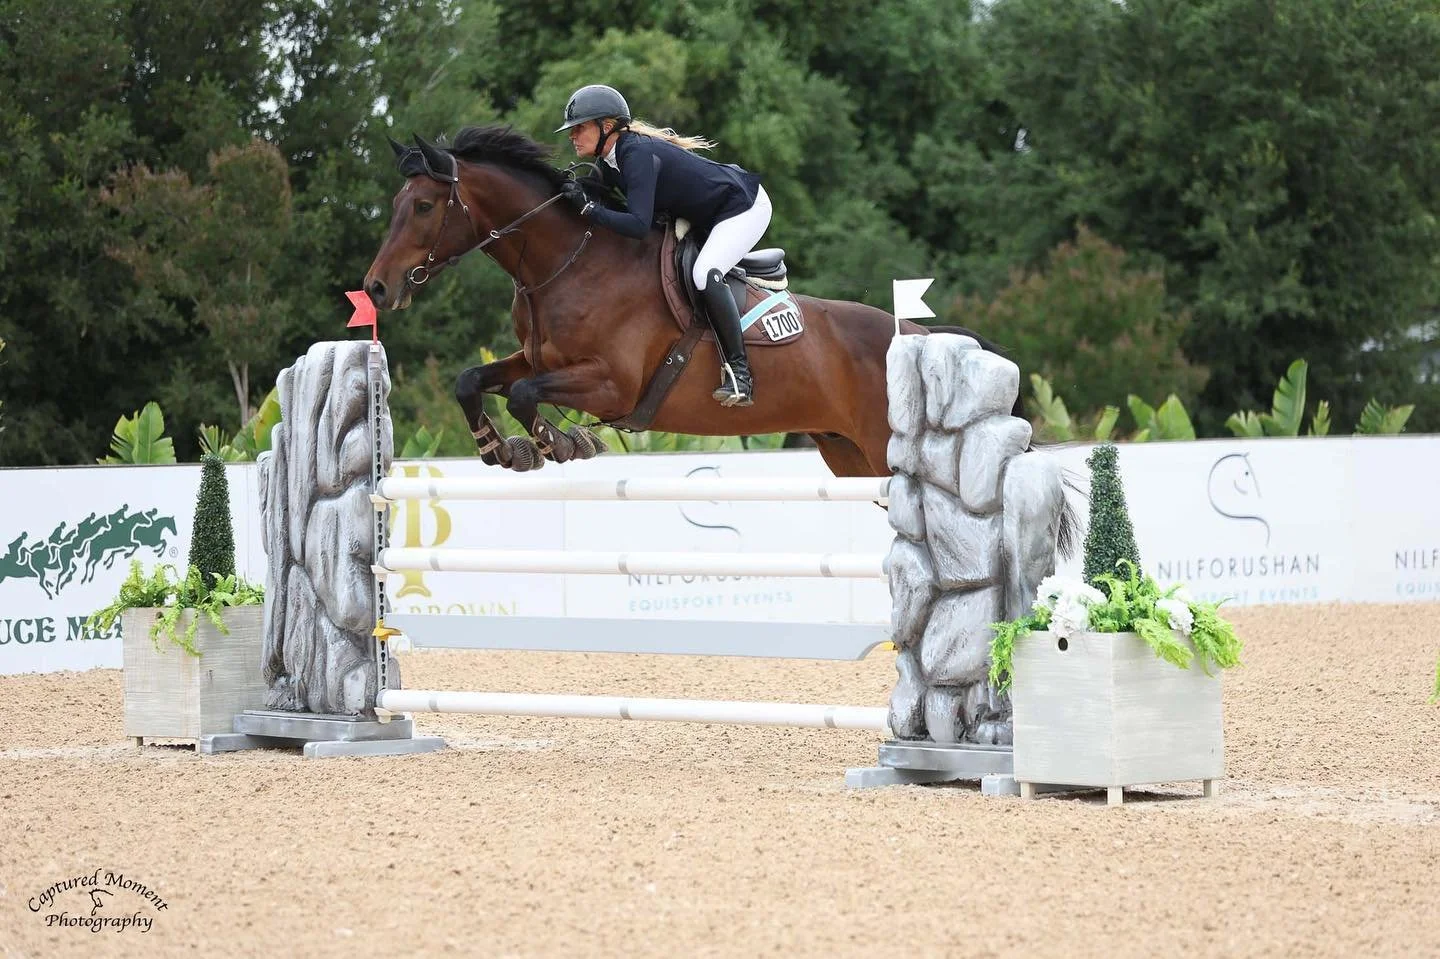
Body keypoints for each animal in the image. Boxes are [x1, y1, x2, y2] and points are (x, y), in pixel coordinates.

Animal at [361, 126, 1079, 554]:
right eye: (394, 204)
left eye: (422, 207)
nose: (376, 287)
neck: (566, 260)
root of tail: (928, 337)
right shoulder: (539, 358)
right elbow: (476, 380)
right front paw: (499, 449)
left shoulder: (613, 384)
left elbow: (528, 396)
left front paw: (560, 443)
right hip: (853, 457)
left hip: (883, 449)